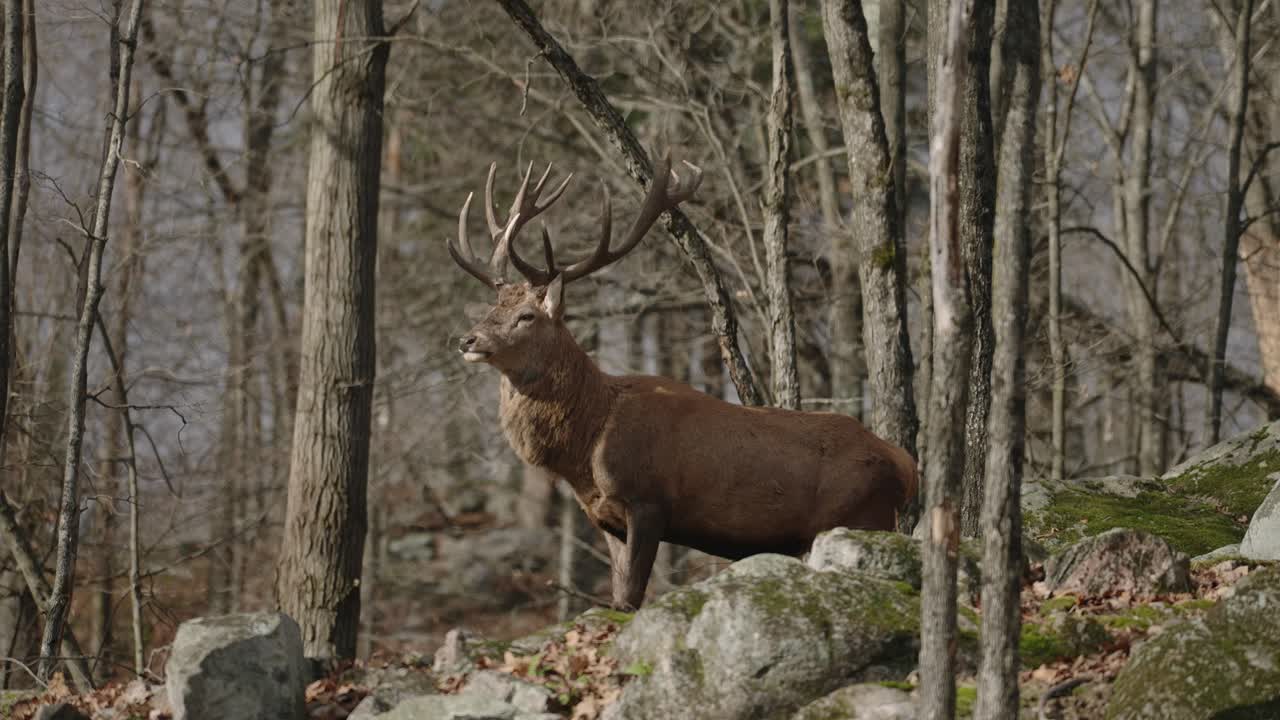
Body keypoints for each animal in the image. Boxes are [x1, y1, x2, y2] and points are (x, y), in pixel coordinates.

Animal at [449, 153, 919, 610]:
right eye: (493, 308)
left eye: (526, 316)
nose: (467, 338)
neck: (588, 444)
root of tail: (905, 463)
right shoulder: (605, 518)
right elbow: (618, 598)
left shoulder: (649, 500)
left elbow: (632, 600)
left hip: (862, 516)